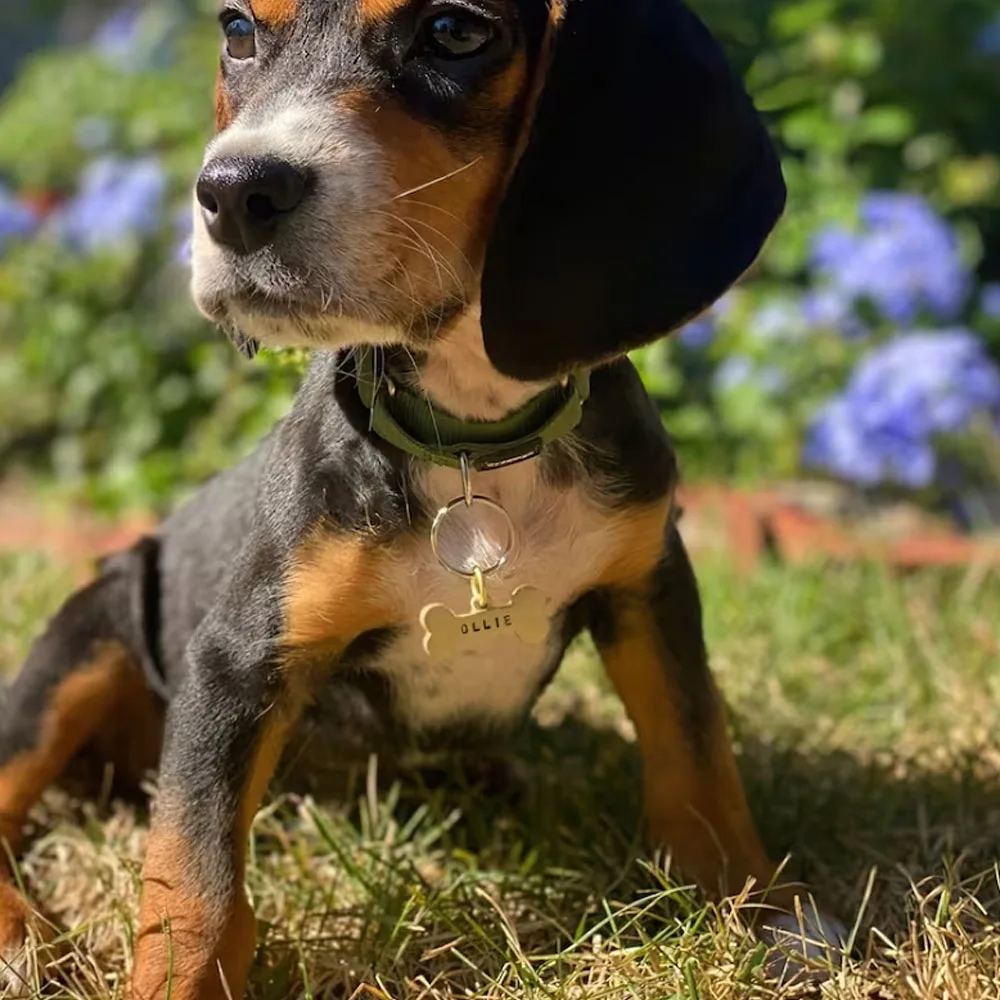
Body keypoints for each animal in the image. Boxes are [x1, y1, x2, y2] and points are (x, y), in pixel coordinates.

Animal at [0, 1, 844, 1000]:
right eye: (239, 29)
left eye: (453, 31)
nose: (234, 192)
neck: (474, 436)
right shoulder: (236, 657)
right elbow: (192, 871)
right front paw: (178, 979)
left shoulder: (652, 584)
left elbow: (696, 753)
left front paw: (761, 910)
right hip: (84, 635)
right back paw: (20, 931)